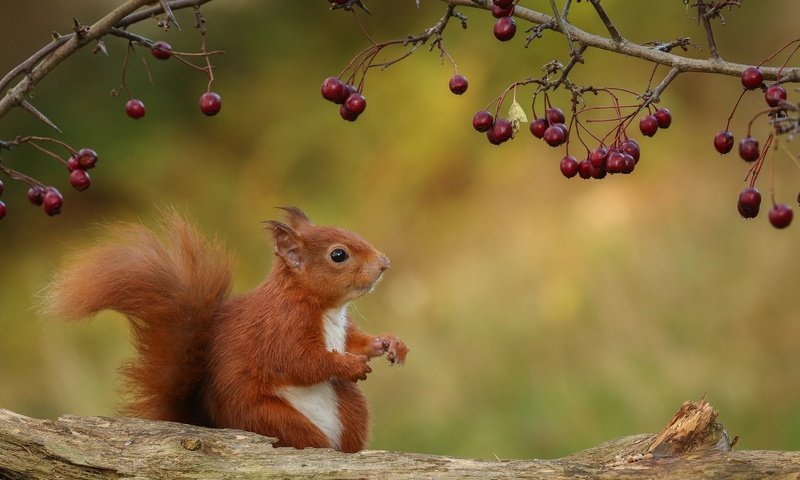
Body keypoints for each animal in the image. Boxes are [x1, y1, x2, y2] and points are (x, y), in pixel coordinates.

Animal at [45, 208, 406, 452]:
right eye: (338, 255)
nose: (385, 263)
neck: (324, 308)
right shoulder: (280, 327)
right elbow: (299, 362)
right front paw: (348, 365)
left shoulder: (342, 330)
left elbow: (356, 342)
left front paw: (390, 343)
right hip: (268, 418)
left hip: (350, 409)